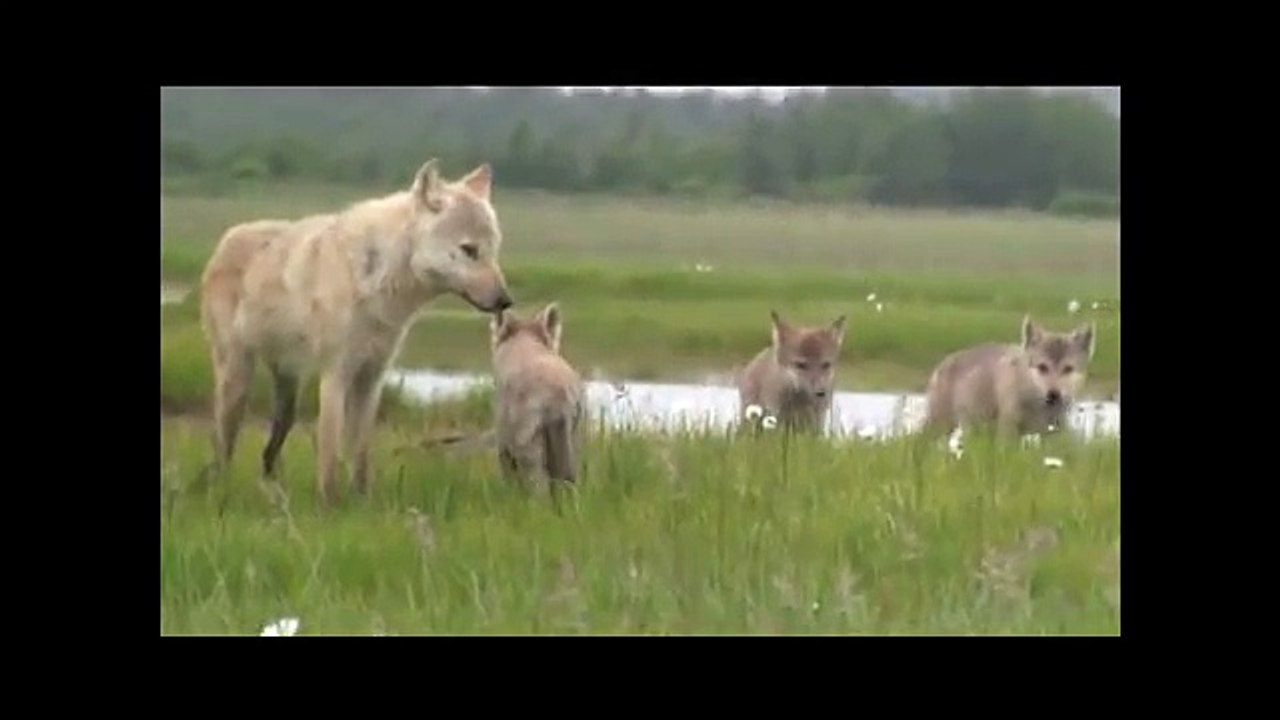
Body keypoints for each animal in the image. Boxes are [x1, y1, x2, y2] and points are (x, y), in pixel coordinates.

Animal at [199, 158, 513, 504]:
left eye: (493, 250)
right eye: (469, 250)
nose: (506, 301)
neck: (379, 283)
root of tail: (225, 240)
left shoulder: (372, 377)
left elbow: (360, 454)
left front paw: (363, 502)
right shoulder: (336, 375)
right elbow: (330, 454)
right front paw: (328, 505)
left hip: (288, 390)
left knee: (269, 451)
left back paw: (272, 491)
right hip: (236, 380)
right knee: (223, 446)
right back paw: (223, 488)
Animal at [489, 303, 585, 490]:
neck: (525, 339)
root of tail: (557, 393)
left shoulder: (503, 433)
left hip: (528, 435)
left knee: (536, 481)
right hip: (569, 435)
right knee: (566, 477)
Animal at [922, 315, 1096, 440]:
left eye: (1068, 369)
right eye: (1042, 367)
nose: (1053, 394)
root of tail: (943, 363)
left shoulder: (1053, 433)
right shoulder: (1008, 431)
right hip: (941, 425)